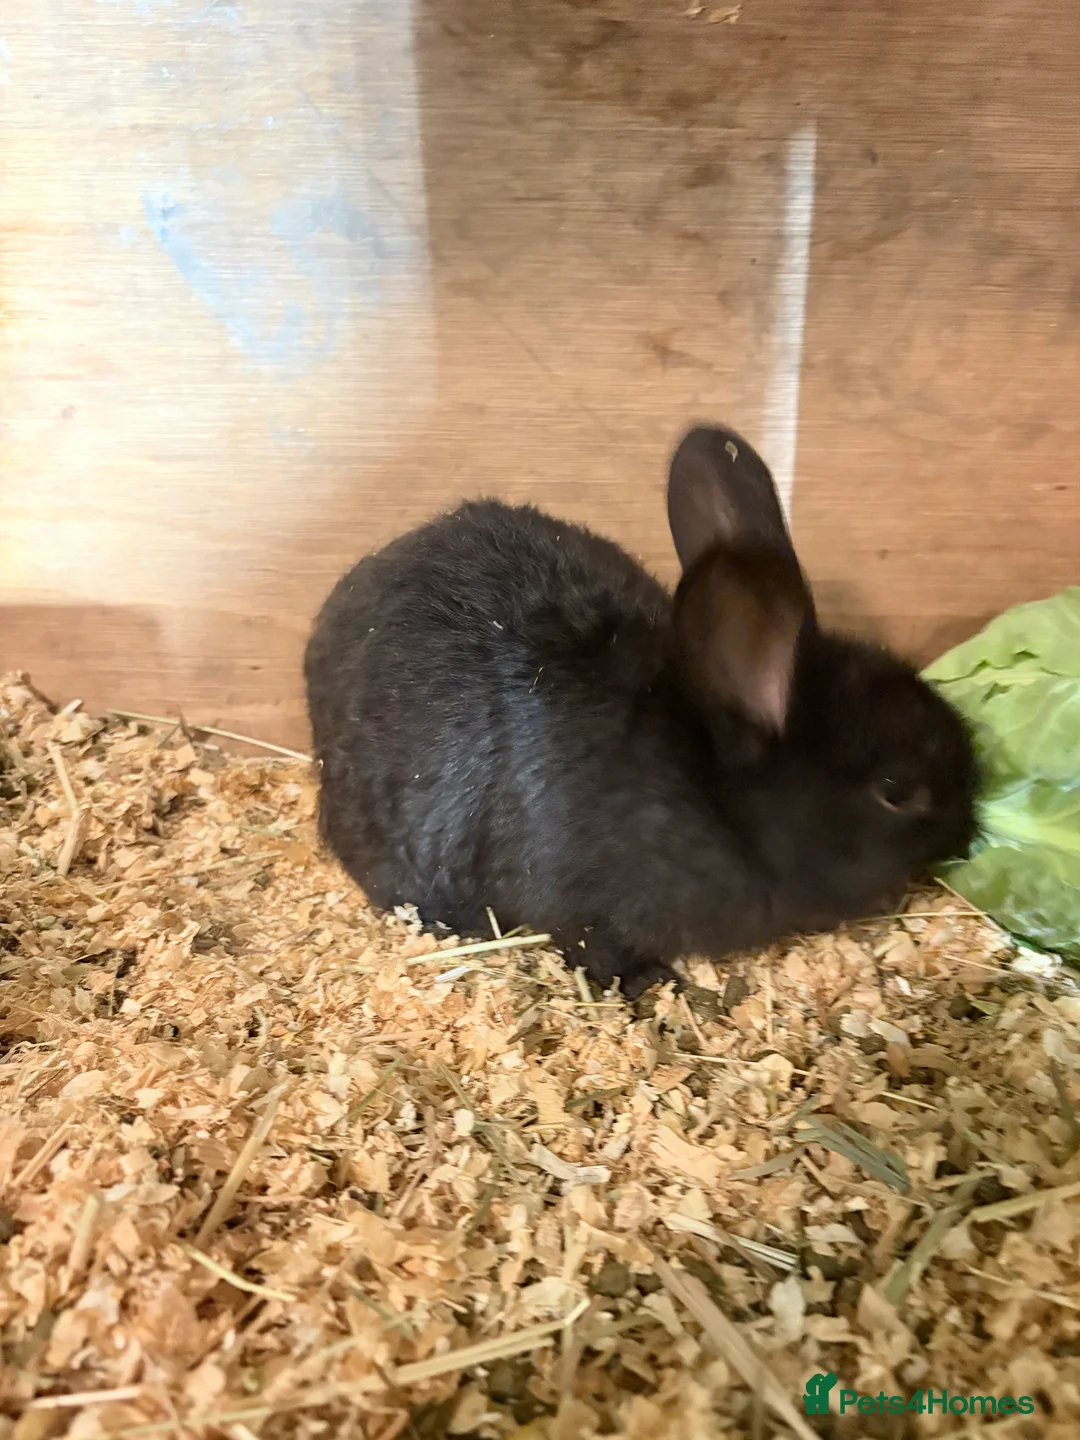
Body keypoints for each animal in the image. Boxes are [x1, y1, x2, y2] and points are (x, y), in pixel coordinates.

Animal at [304, 424, 978, 999]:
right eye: (897, 791)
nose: (969, 828)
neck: (712, 804)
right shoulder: (585, 910)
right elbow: (598, 951)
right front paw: (655, 986)